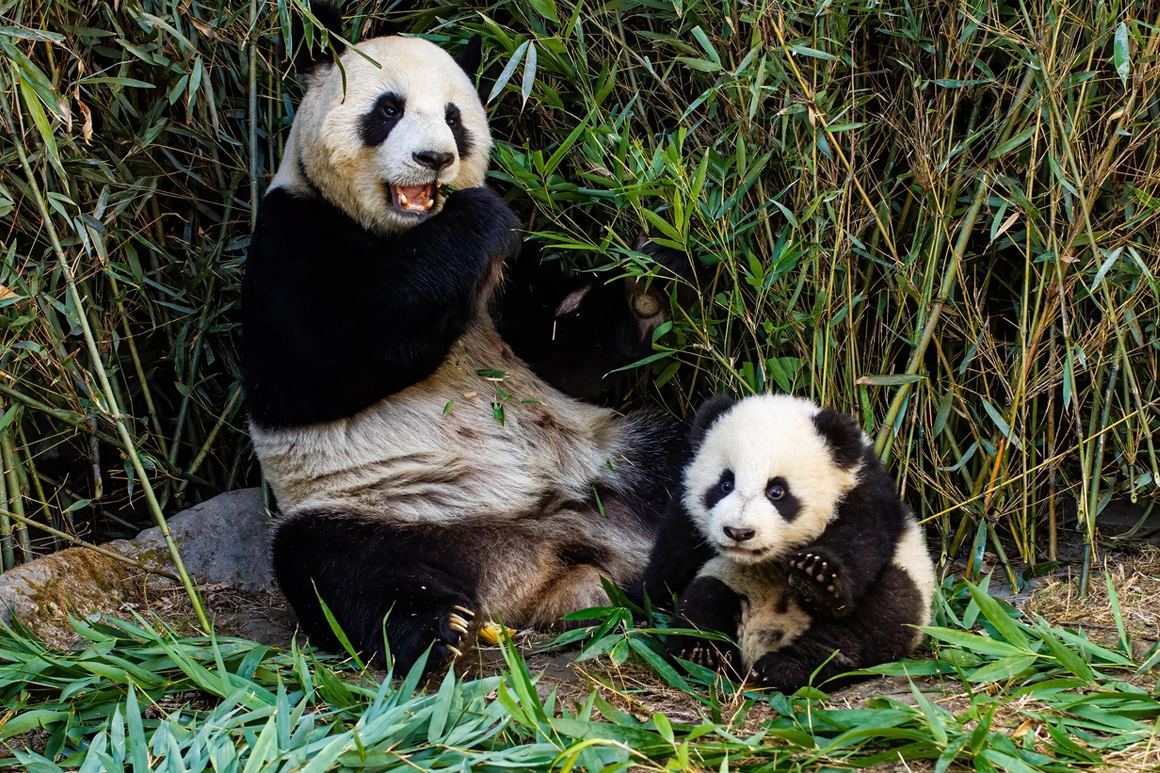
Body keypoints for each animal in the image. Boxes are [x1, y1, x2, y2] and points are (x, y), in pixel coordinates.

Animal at [242, 4, 688, 676]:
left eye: (455, 117)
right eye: (388, 109)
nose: (435, 158)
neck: (403, 233)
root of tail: (551, 564)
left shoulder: (512, 281)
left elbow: (565, 358)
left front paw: (646, 280)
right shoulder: (290, 233)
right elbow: (308, 368)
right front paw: (476, 217)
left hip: (617, 458)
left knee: (702, 460)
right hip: (382, 504)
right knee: (334, 564)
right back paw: (436, 629)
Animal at [637, 394, 936, 692]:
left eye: (776, 491)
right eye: (725, 484)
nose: (738, 532)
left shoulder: (864, 495)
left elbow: (860, 544)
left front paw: (816, 576)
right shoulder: (685, 513)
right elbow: (671, 562)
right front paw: (645, 603)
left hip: (907, 584)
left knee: (870, 623)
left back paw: (789, 667)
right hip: (728, 581)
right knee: (703, 599)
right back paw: (701, 653)